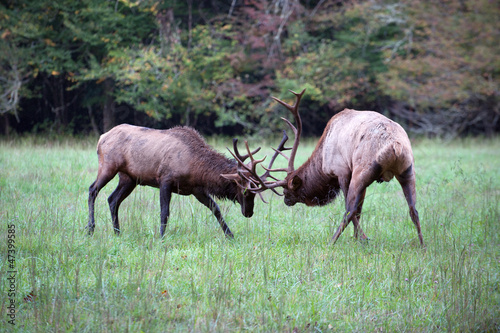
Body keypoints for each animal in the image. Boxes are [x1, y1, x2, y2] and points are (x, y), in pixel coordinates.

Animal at [88, 124, 288, 236]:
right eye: (245, 191)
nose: (249, 212)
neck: (196, 167)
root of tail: (101, 137)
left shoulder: (197, 189)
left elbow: (216, 209)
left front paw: (230, 235)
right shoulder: (165, 180)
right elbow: (165, 212)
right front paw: (161, 236)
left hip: (129, 178)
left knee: (113, 199)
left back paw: (117, 232)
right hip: (108, 166)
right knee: (92, 190)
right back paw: (90, 229)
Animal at [234, 89, 426, 245]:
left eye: (288, 189)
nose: (286, 200)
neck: (323, 163)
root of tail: (395, 146)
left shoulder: (342, 171)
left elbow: (354, 209)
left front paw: (360, 239)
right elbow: (360, 209)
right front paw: (356, 238)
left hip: (362, 170)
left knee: (349, 210)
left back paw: (332, 241)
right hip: (407, 169)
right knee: (413, 210)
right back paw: (422, 246)